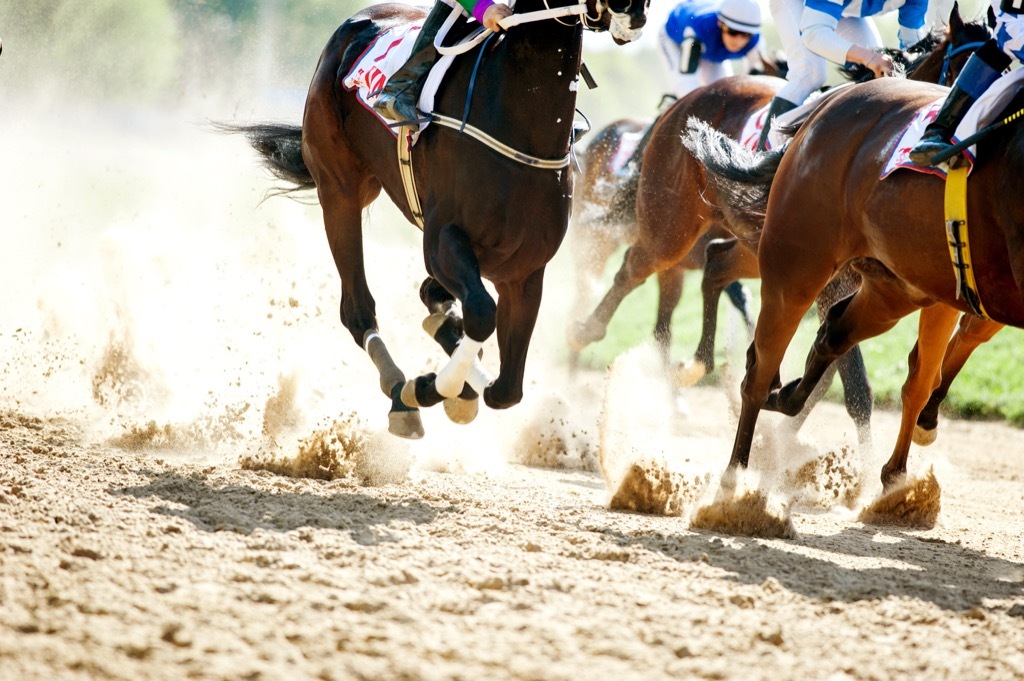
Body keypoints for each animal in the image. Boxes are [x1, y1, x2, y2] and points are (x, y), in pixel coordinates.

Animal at [227, 0, 647, 436]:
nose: (633, 12)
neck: (522, 127)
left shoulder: (524, 271)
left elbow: (506, 389)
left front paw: (455, 380)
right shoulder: (445, 239)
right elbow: (481, 314)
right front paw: (428, 388)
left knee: (431, 299)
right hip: (340, 189)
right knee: (357, 309)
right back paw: (400, 390)